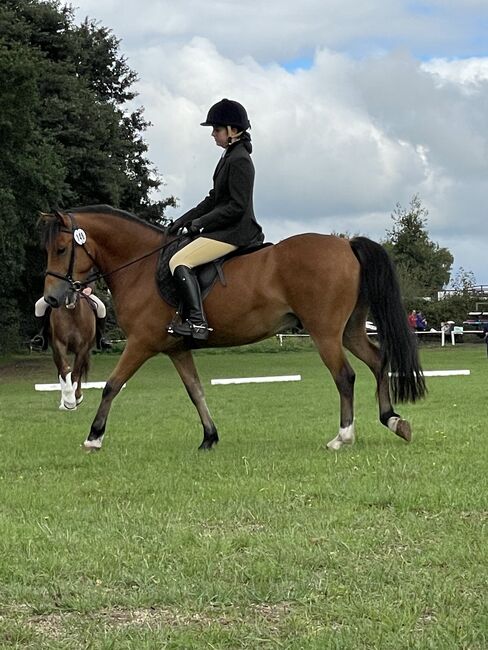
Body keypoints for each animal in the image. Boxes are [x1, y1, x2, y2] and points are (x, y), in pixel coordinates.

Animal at [40, 205, 426, 448]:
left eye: (60, 248)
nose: (52, 298)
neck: (141, 267)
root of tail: (346, 243)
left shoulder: (141, 343)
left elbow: (112, 385)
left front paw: (93, 437)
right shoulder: (176, 349)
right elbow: (196, 391)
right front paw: (209, 437)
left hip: (325, 332)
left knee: (345, 376)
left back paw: (343, 437)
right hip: (350, 330)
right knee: (377, 361)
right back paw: (394, 420)